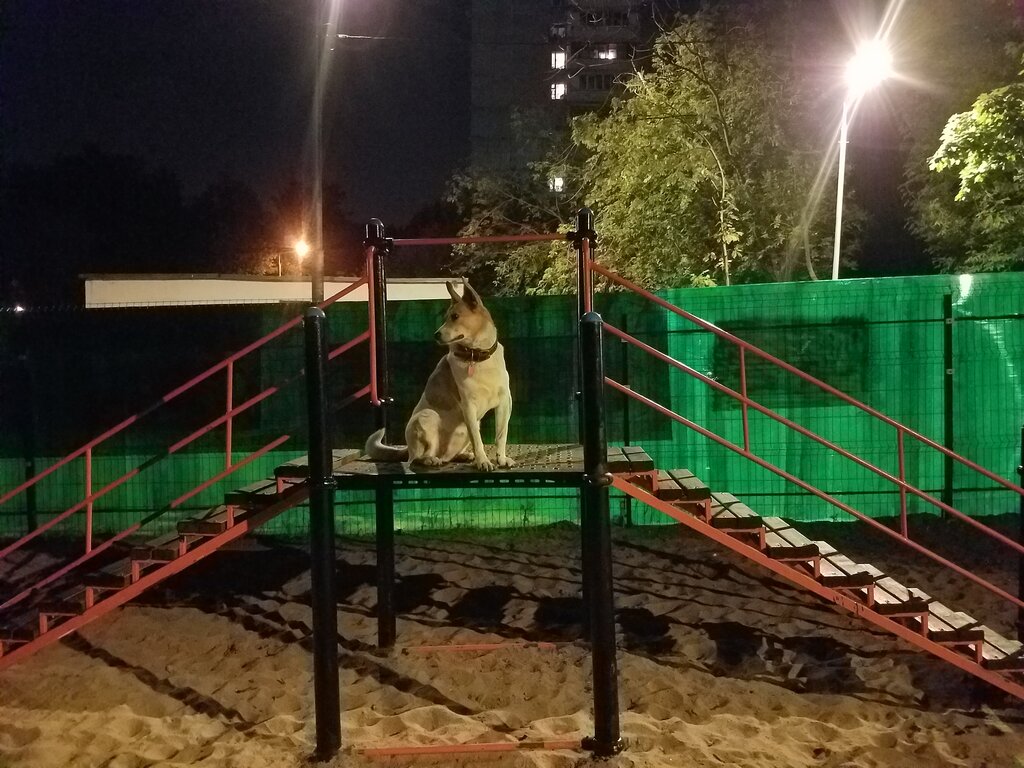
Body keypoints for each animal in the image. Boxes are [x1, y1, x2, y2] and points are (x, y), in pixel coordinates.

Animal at [364, 279, 515, 472]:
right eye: (446, 318)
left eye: (455, 316)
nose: (436, 334)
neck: (477, 356)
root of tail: (407, 449)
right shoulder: (469, 407)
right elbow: (478, 440)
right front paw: (483, 461)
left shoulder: (504, 402)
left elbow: (501, 435)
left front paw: (501, 459)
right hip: (427, 417)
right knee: (417, 458)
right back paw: (430, 460)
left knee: (448, 455)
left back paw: (463, 456)